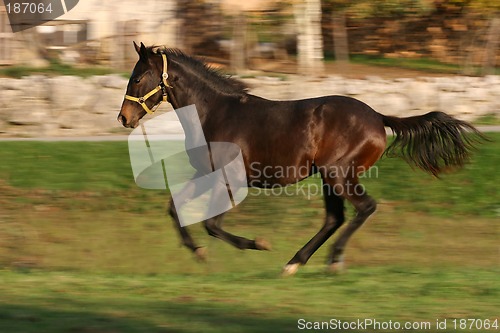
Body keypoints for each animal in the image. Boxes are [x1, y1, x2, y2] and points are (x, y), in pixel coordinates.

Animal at [118, 41, 484, 274]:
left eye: (137, 77)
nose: (123, 118)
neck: (215, 113)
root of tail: (378, 117)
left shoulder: (231, 179)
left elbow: (213, 224)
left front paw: (258, 244)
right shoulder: (207, 174)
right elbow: (175, 208)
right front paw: (198, 252)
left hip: (338, 173)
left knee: (364, 208)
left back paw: (332, 260)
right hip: (329, 177)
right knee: (335, 218)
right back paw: (295, 262)